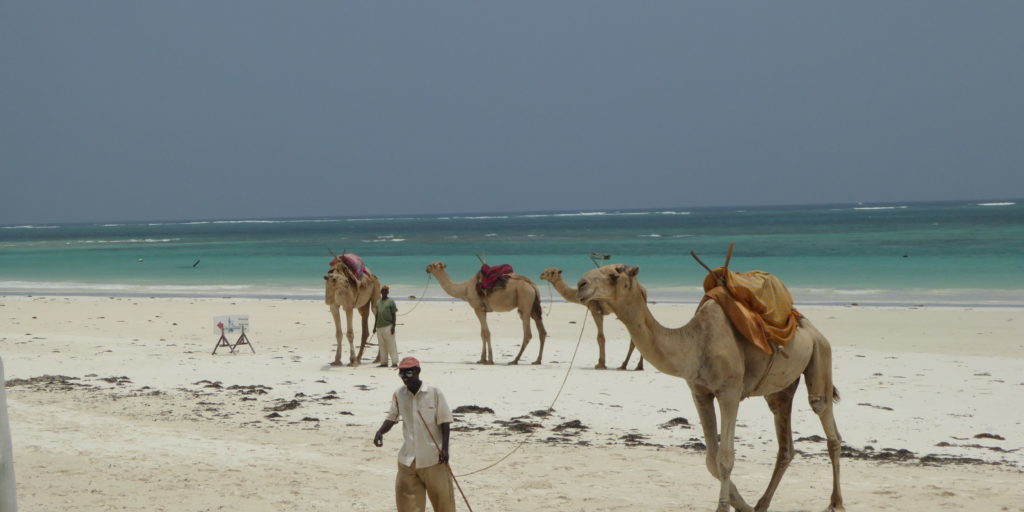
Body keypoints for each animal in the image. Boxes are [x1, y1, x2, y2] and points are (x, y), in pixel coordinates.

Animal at [581, 264, 843, 512]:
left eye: (614, 275)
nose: (582, 284)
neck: (696, 343)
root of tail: (811, 329)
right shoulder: (700, 392)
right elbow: (711, 458)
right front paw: (743, 505)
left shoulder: (730, 392)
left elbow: (725, 456)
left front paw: (724, 506)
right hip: (780, 389)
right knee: (785, 442)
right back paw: (761, 504)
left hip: (821, 352)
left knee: (825, 418)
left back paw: (836, 502)